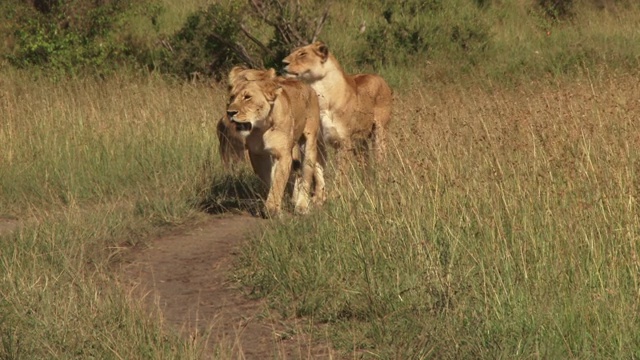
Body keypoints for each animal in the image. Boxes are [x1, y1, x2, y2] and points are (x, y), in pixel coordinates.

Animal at [226, 76, 324, 215]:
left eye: (247, 97)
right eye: (232, 97)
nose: (230, 112)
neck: (262, 127)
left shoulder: (283, 154)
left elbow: (278, 181)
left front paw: (272, 209)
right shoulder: (257, 154)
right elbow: (269, 179)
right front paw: (273, 204)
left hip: (309, 143)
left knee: (306, 174)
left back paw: (302, 206)